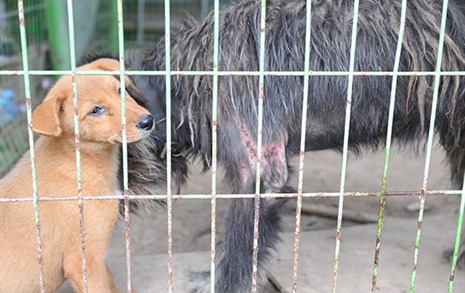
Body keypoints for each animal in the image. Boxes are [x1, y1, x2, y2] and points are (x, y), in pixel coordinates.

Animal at [0, 58, 152, 290]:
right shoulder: (84, 259)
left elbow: (111, 281)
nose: (148, 121)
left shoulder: (97, 258)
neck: (78, 162)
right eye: (96, 110)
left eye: (120, 90)